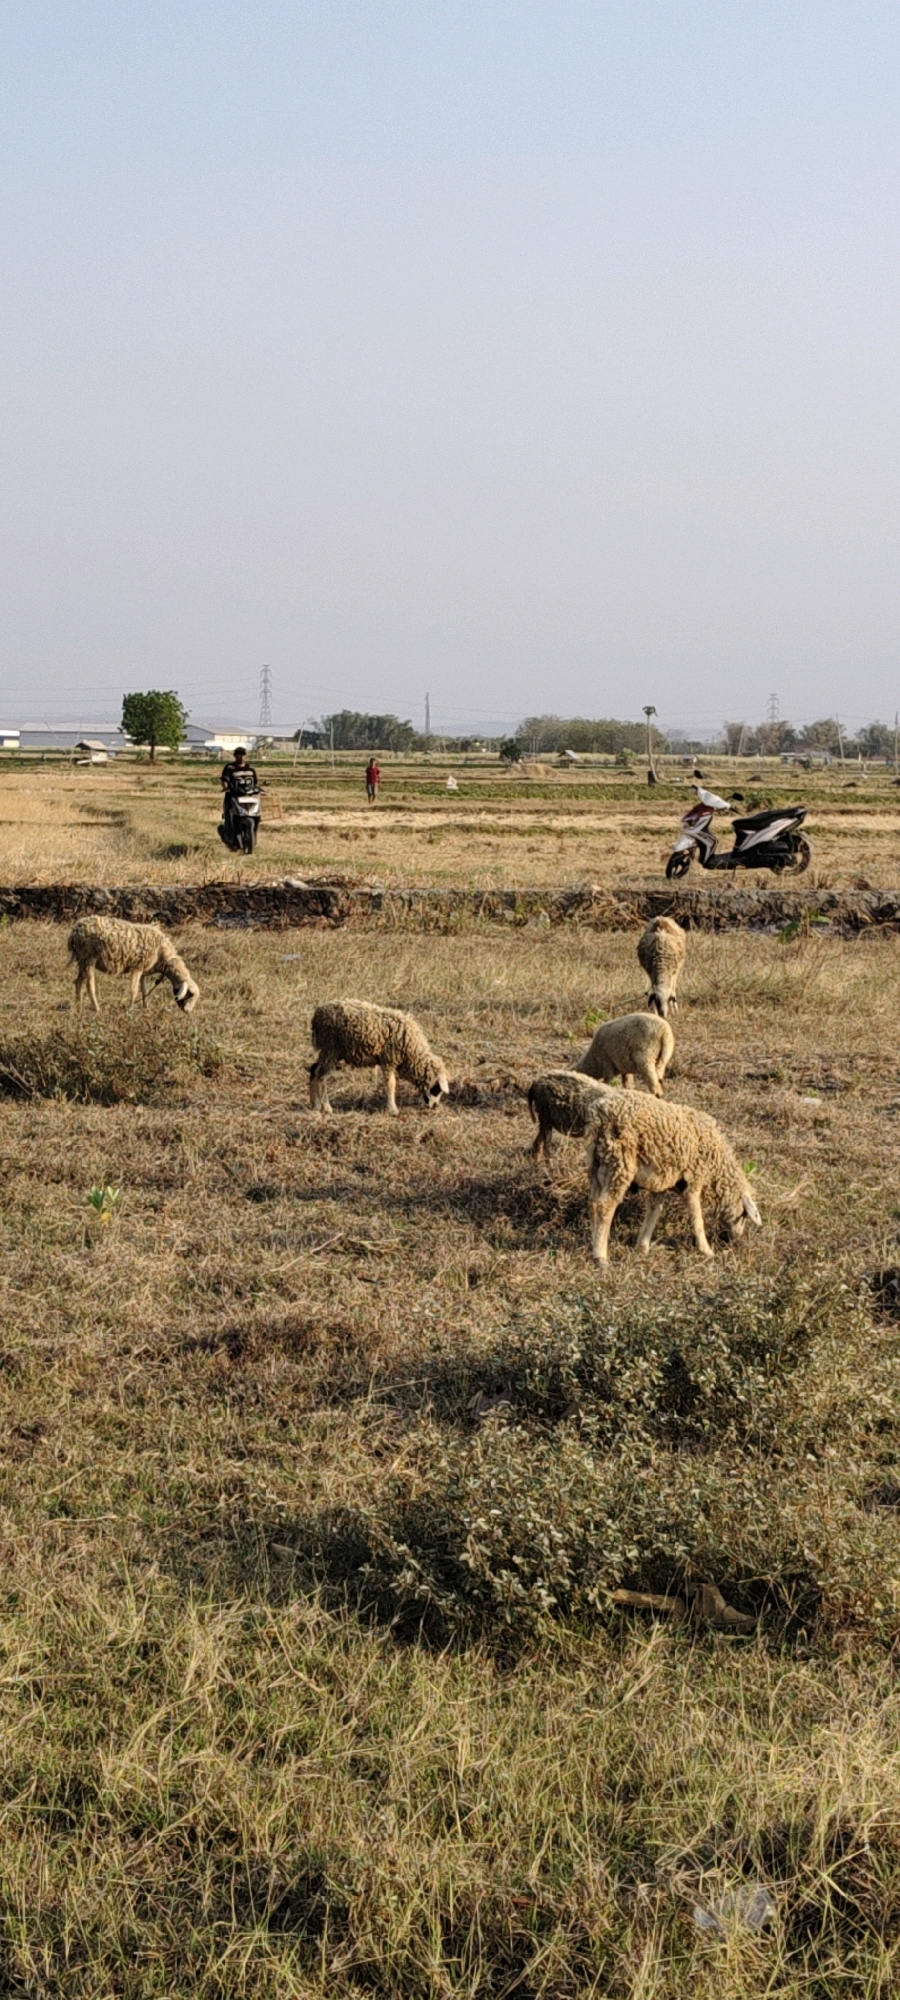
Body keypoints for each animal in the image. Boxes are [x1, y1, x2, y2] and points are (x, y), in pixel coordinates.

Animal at [68, 916, 200, 1014]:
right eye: (190, 994)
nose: (188, 1012)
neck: (163, 956)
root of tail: (76, 929)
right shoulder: (137, 967)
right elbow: (134, 991)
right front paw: (131, 1010)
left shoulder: (143, 970)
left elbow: (144, 991)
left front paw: (145, 1008)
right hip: (89, 957)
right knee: (89, 985)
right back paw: (96, 1009)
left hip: (82, 959)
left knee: (78, 982)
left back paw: (78, 1008)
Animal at [309, 1000, 449, 1116]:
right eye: (437, 1088)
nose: (434, 1106)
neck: (412, 1054)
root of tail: (317, 1015)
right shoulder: (389, 1060)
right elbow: (390, 1084)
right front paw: (393, 1110)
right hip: (331, 1048)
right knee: (321, 1076)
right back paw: (326, 1107)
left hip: (329, 1052)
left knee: (314, 1071)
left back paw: (315, 1105)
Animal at [586, 1092, 761, 1263]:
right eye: (744, 1214)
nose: (735, 1240)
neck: (716, 1165)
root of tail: (600, 1114)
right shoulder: (694, 1179)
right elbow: (697, 1218)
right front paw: (706, 1251)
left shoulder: (660, 1180)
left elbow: (654, 1210)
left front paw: (642, 1247)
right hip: (620, 1162)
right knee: (605, 1206)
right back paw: (600, 1256)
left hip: (596, 1162)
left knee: (594, 1203)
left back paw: (594, 1243)